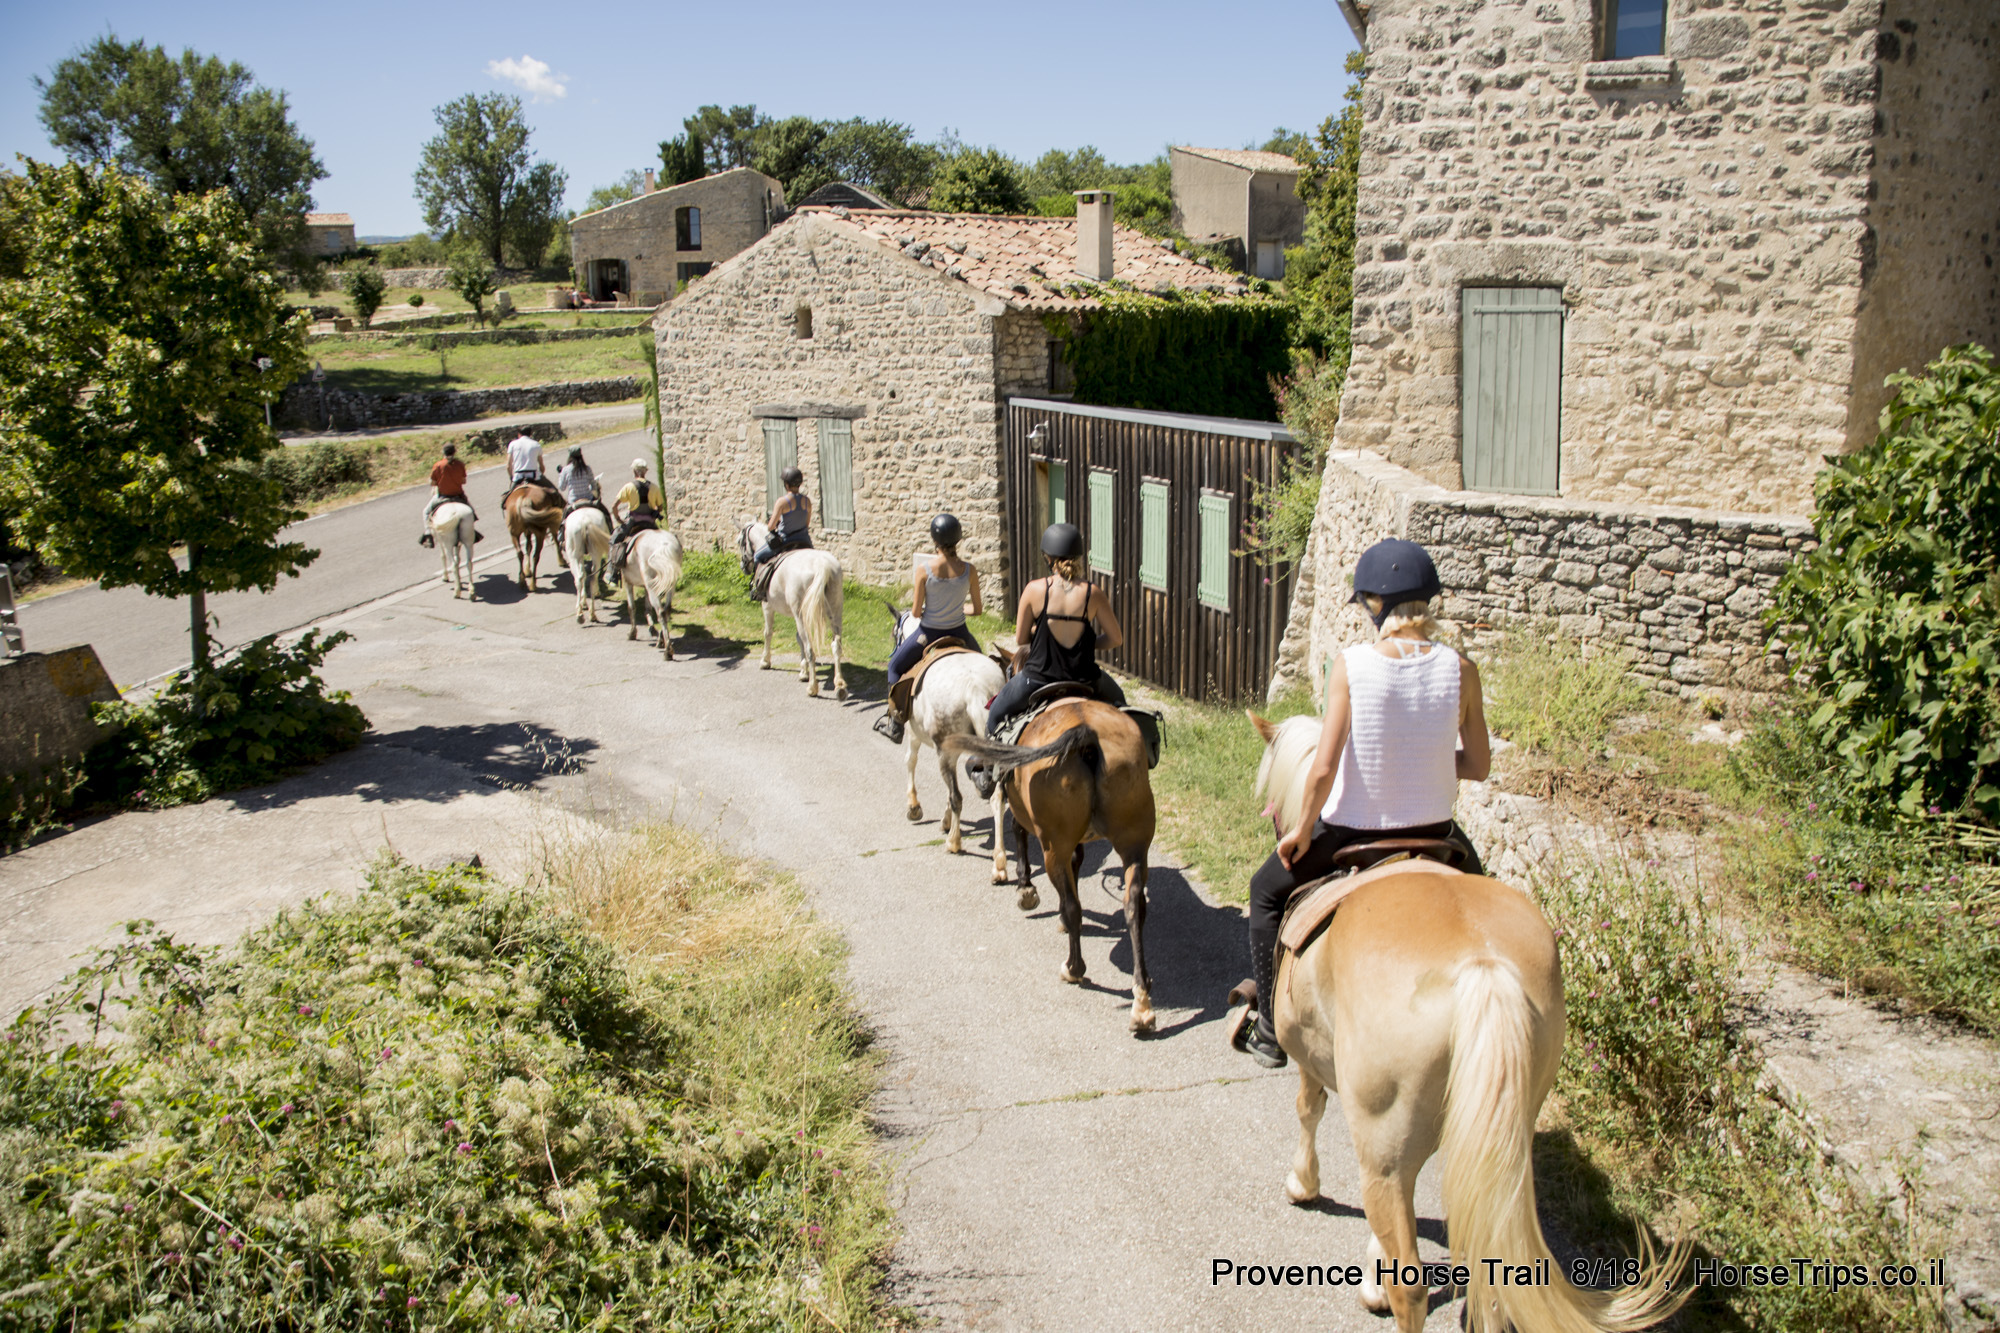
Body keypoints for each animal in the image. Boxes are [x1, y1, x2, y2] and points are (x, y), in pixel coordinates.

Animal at [618, 528, 684, 659]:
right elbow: (647, 608)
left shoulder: (628, 582)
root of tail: (664, 545)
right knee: (667, 610)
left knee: (661, 612)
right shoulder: (649, 587)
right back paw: (662, 641)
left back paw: (667, 651)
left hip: (652, 584)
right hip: (670, 584)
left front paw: (632, 633)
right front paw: (652, 629)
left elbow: (631, 607)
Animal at [736, 522, 847, 701]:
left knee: (810, 649)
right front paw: (803, 671)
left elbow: (768, 632)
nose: (743, 566)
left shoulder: (767, 606)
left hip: (802, 616)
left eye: (740, 541)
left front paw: (765, 661)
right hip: (835, 613)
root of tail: (822, 566)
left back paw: (813, 688)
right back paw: (840, 685)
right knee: (836, 646)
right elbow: (798, 638)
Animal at [889, 611, 1007, 868]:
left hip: (945, 752)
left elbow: (910, 761)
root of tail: (975, 689)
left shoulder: (915, 735)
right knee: (998, 798)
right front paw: (944, 820)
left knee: (957, 797)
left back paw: (954, 842)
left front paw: (914, 807)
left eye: (895, 634)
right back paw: (999, 861)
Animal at [944, 700, 1157, 1033]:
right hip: (1134, 842)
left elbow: (1018, 834)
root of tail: (1087, 735)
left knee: (1073, 907)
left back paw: (1074, 968)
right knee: (1134, 908)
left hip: (1054, 846)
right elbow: (1077, 863)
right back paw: (1142, 1002)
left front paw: (1025, 889)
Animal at [1247, 712, 1687, 1332]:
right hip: (1506, 1124)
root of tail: (1484, 966)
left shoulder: (1313, 1059)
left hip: (1383, 1134)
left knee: (1410, 1277)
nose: (1284, 836)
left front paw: (1303, 1185)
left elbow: (1309, 1110)